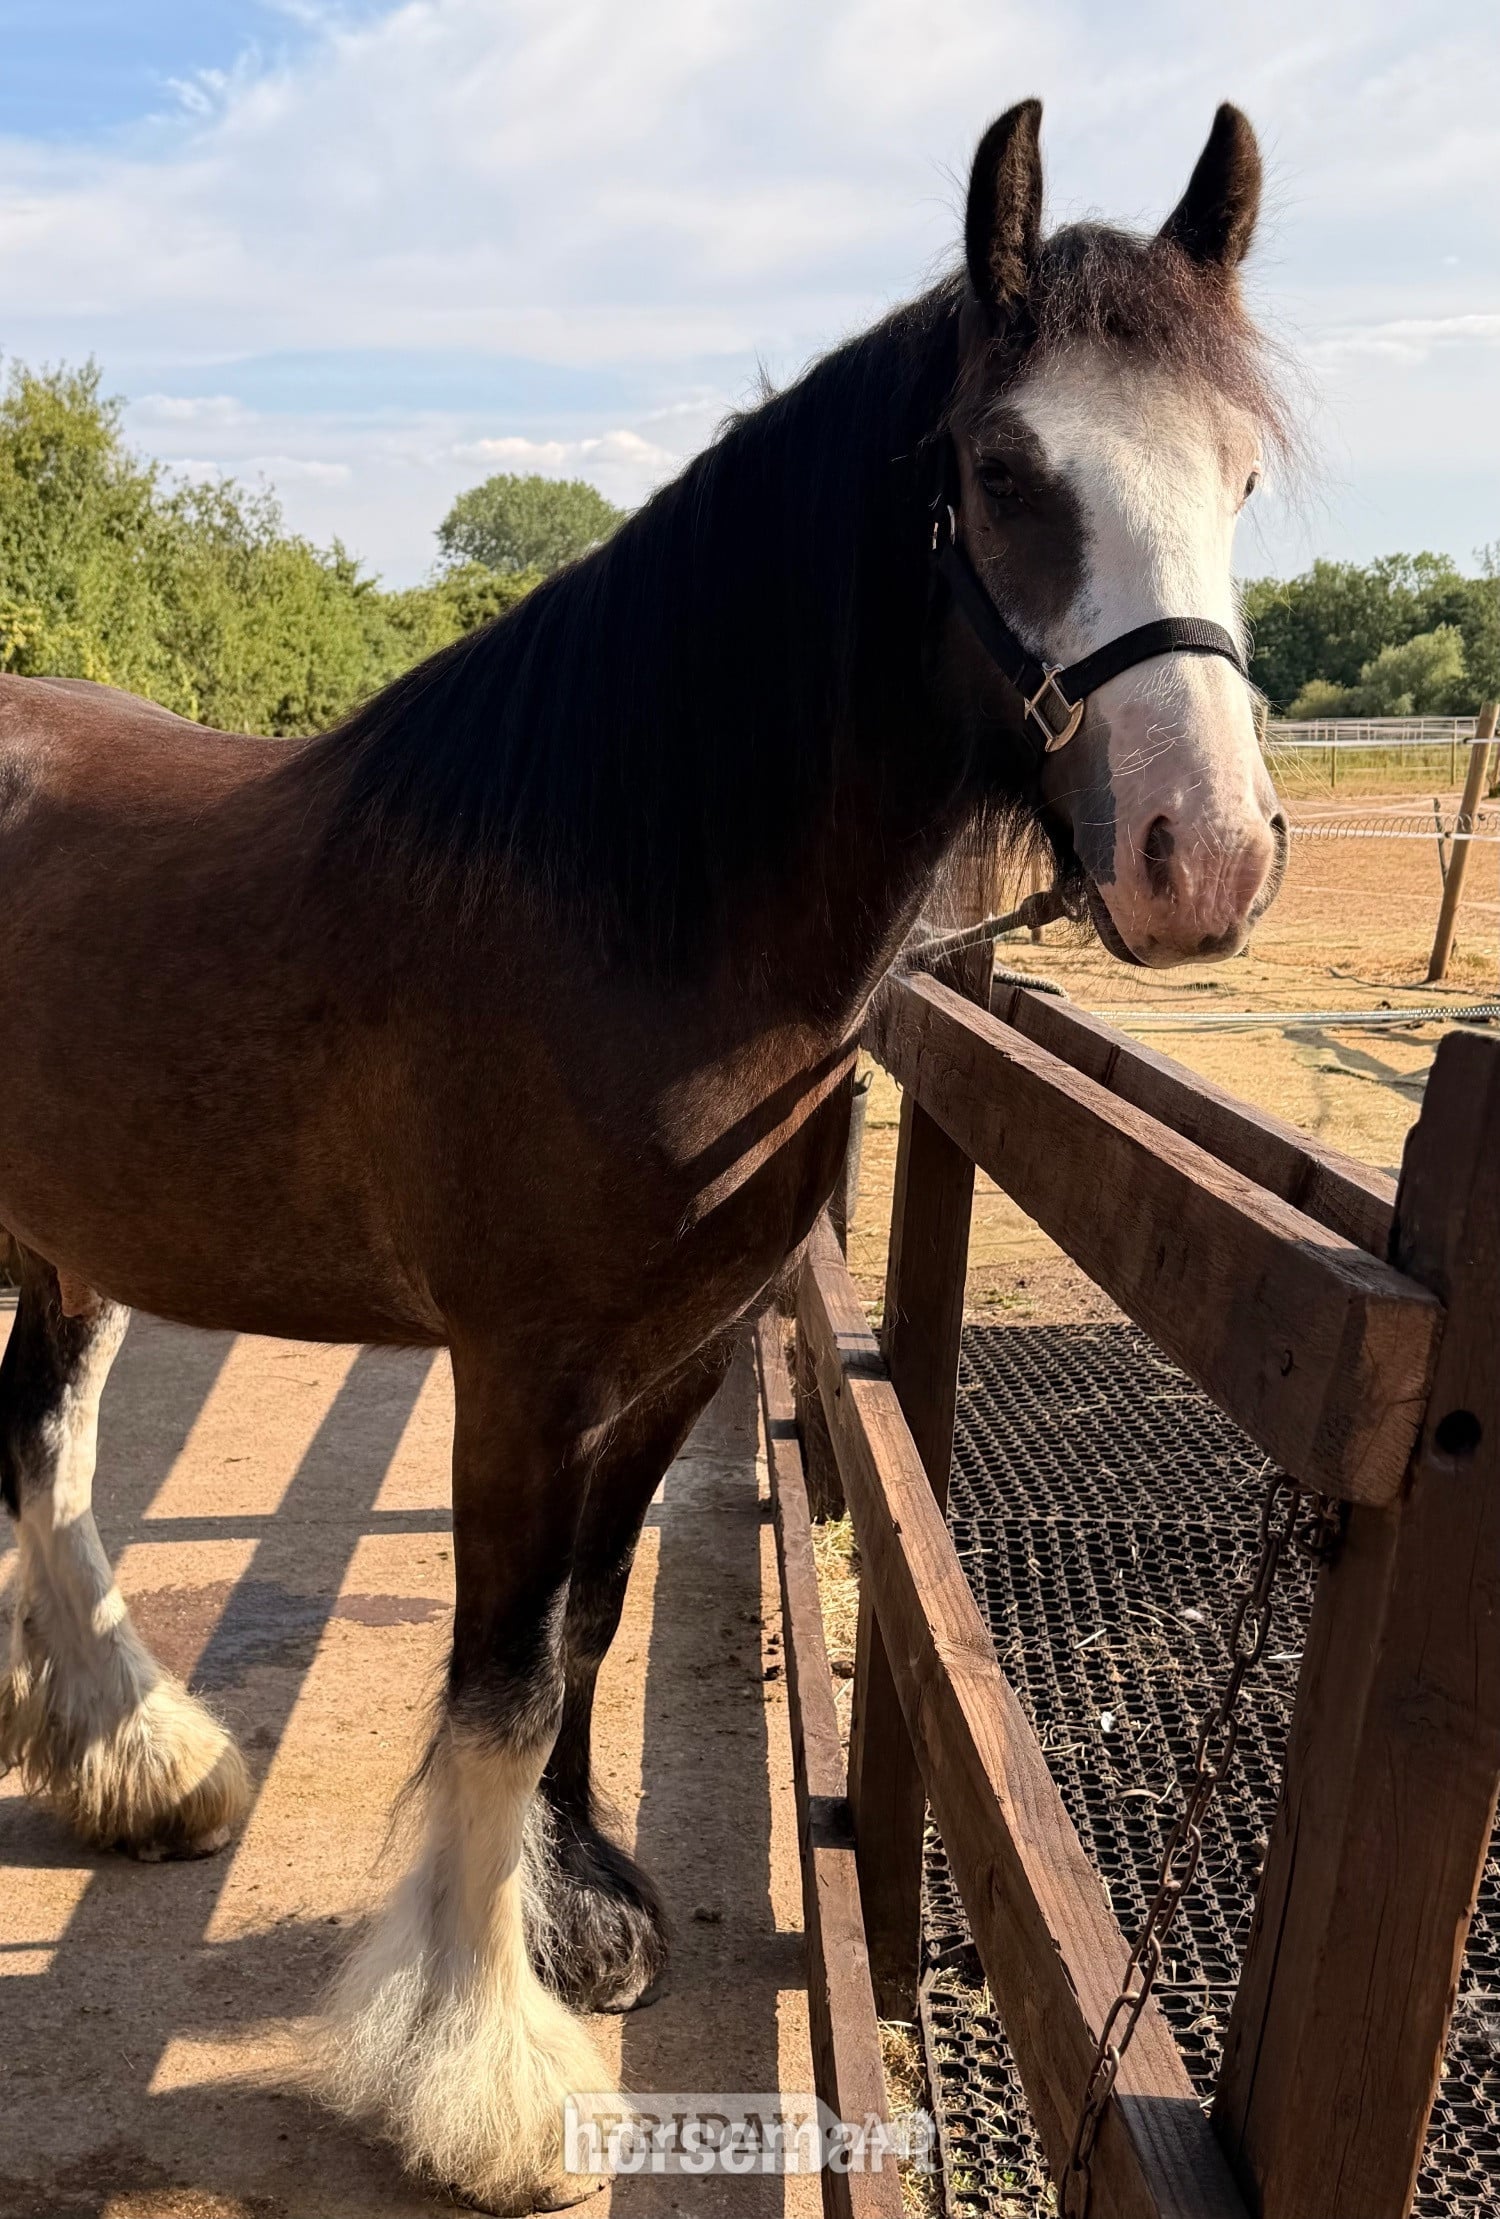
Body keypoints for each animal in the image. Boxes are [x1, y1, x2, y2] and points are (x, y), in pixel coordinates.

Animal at [0, 98, 1286, 2214]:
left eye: (1242, 475)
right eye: (1006, 469)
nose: (1207, 854)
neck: (630, 912)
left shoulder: (681, 1349)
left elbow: (586, 1622)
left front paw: (575, 1913)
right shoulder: (521, 1370)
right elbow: (500, 1675)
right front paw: (480, 2063)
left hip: (75, 1230)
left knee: (48, 1442)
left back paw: (131, 1753)